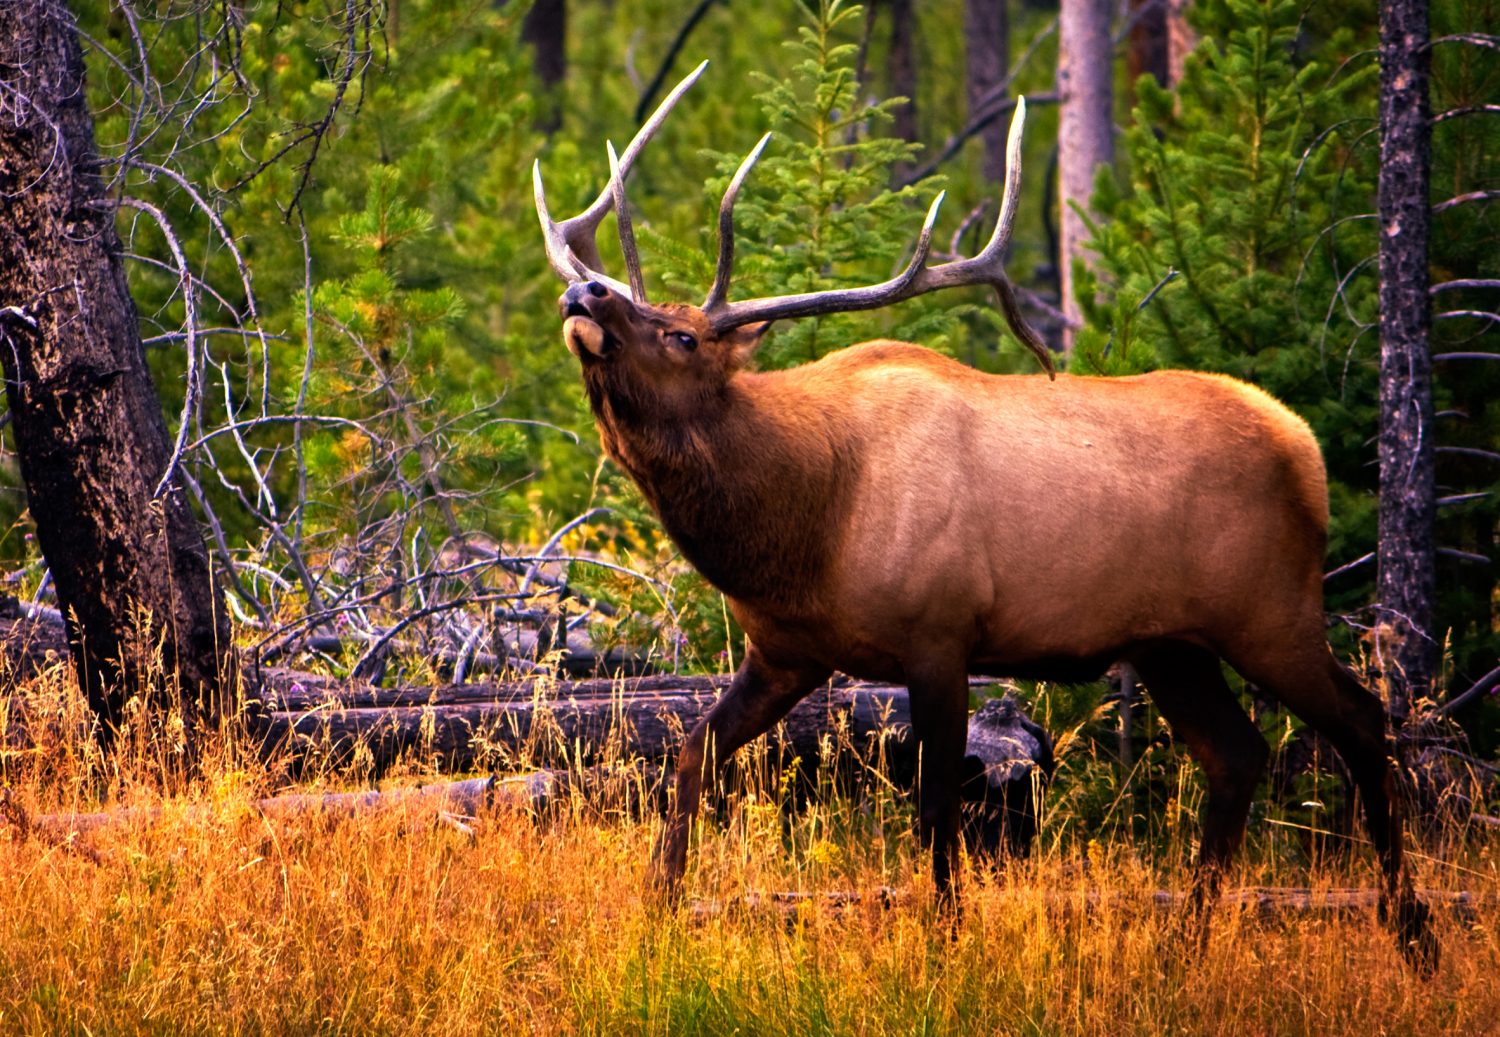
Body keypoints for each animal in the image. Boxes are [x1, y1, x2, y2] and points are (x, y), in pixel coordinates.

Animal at [532, 62, 1436, 972]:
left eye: (682, 336)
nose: (586, 290)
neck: (804, 524)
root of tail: (1306, 448)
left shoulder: (941, 632)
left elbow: (935, 804)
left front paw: (946, 942)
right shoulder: (788, 650)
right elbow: (692, 755)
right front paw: (657, 911)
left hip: (1271, 611)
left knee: (1364, 720)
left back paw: (1412, 931)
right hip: (1171, 643)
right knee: (1238, 754)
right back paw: (1184, 942)